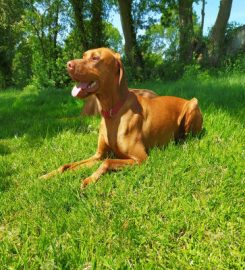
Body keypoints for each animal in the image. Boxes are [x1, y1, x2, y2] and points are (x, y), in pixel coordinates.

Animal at [41, 47, 203, 189]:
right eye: (84, 55)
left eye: (95, 58)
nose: (68, 64)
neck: (113, 112)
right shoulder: (98, 155)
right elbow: (66, 165)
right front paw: (47, 175)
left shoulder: (140, 158)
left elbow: (107, 162)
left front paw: (89, 179)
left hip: (193, 104)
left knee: (189, 137)